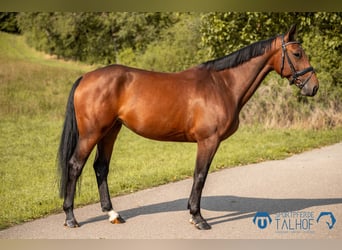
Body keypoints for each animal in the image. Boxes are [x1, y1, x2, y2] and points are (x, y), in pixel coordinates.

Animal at [58, 24, 318, 229]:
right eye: (297, 53)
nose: (313, 87)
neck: (223, 85)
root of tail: (86, 77)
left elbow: (200, 175)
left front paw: (194, 214)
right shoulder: (208, 141)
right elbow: (200, 175)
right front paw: (198, 218)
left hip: (110, 131)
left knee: (101, 167)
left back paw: (113, 214)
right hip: (92, 133)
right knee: (75, 165)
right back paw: (70, 217)